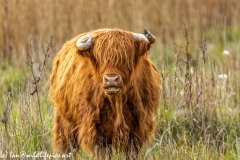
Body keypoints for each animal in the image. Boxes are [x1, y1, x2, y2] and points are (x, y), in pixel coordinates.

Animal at [48, 29, 160, 159]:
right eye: (99, 59)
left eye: (126, 58)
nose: (111, 80)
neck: (117, 101)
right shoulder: (97, 132)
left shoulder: (137, 129)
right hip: (65, 122)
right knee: (68, 146)